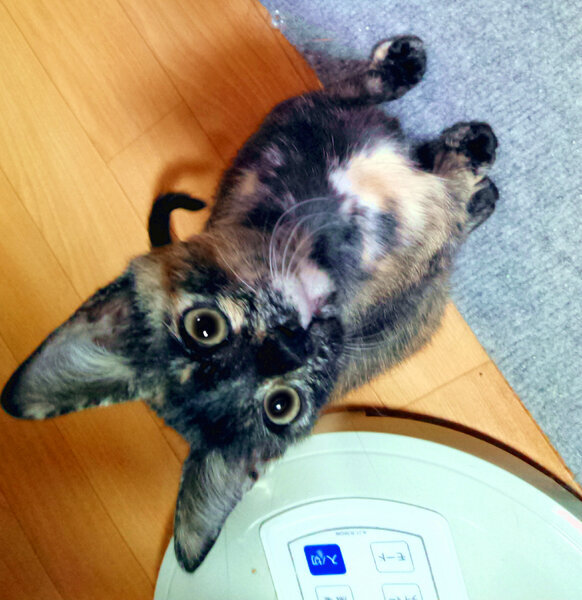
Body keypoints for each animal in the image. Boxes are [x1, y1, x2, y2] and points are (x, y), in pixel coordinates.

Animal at [1, 35, 498, 572]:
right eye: (282, 406)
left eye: (204, 327)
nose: (293, 346)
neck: (315, 225)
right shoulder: (422, 250)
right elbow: (446, 196)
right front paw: (469, 155)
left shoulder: (302, 114)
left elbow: (348, 92)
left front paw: (400, 66)